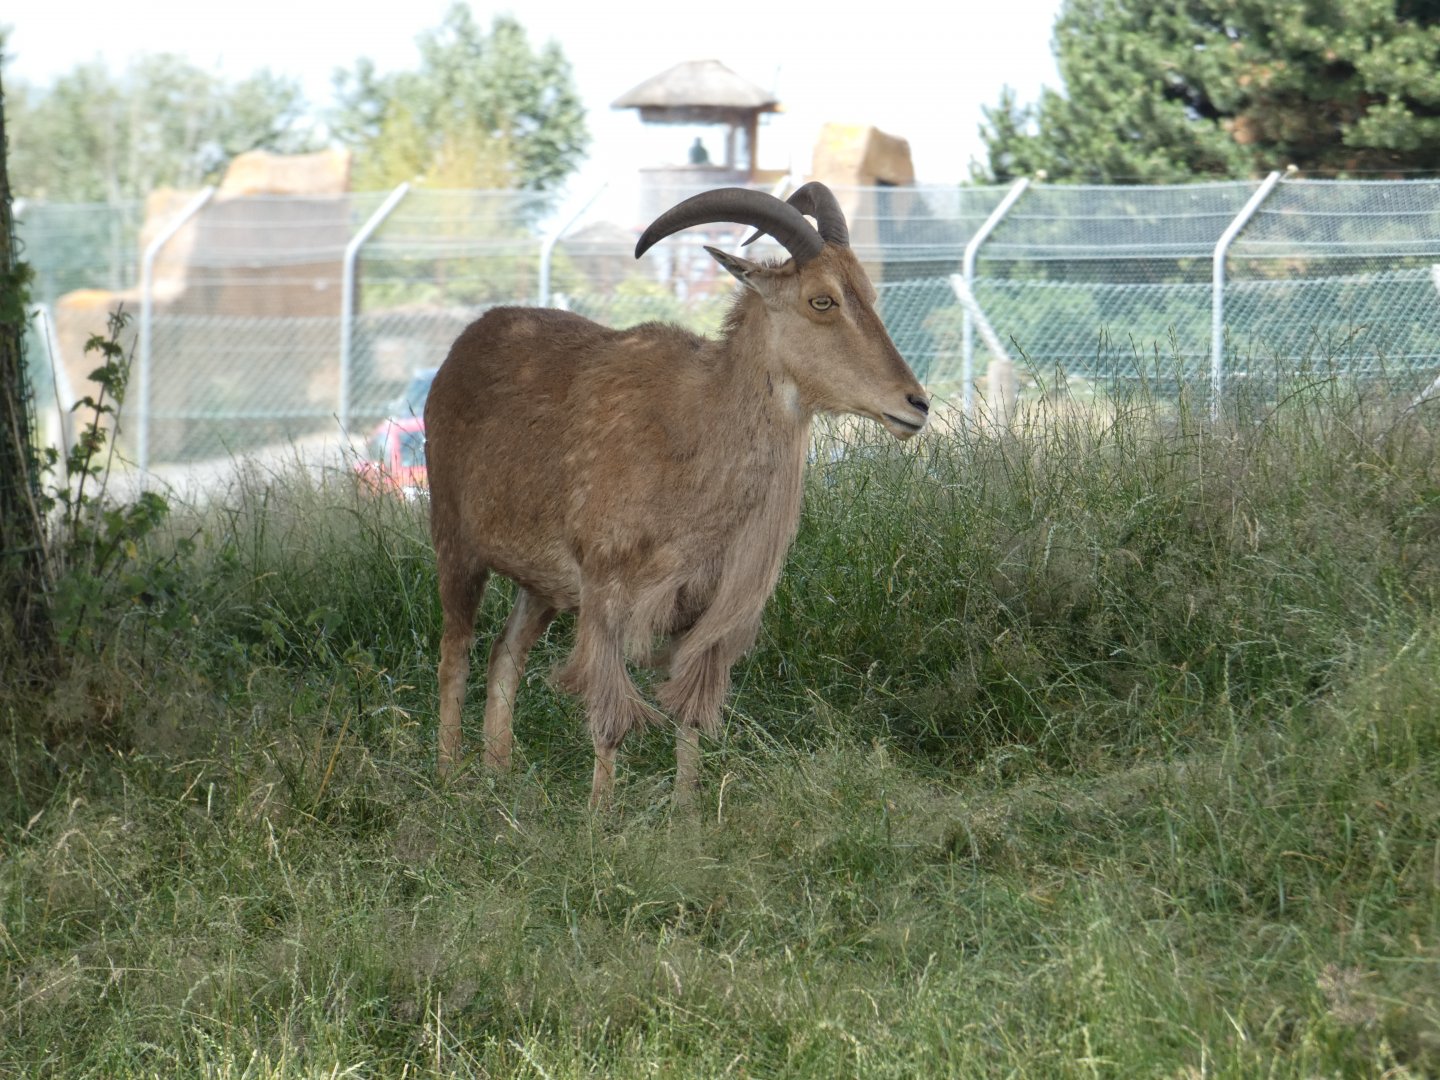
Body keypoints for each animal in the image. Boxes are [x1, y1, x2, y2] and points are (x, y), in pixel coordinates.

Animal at [424, 182, 929, 807]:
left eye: (868, 294)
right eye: (822, 301)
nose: (916, 404)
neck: (695, 433)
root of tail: (461, 348)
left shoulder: (702, 609)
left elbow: (688, 713)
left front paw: (686, 811)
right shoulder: (606, 591)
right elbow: (611, 716)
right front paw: (600, 816)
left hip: (540, 585)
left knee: (504, 654)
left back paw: (500, 777)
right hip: (456, 544)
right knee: (456, 655)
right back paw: (448, 779)